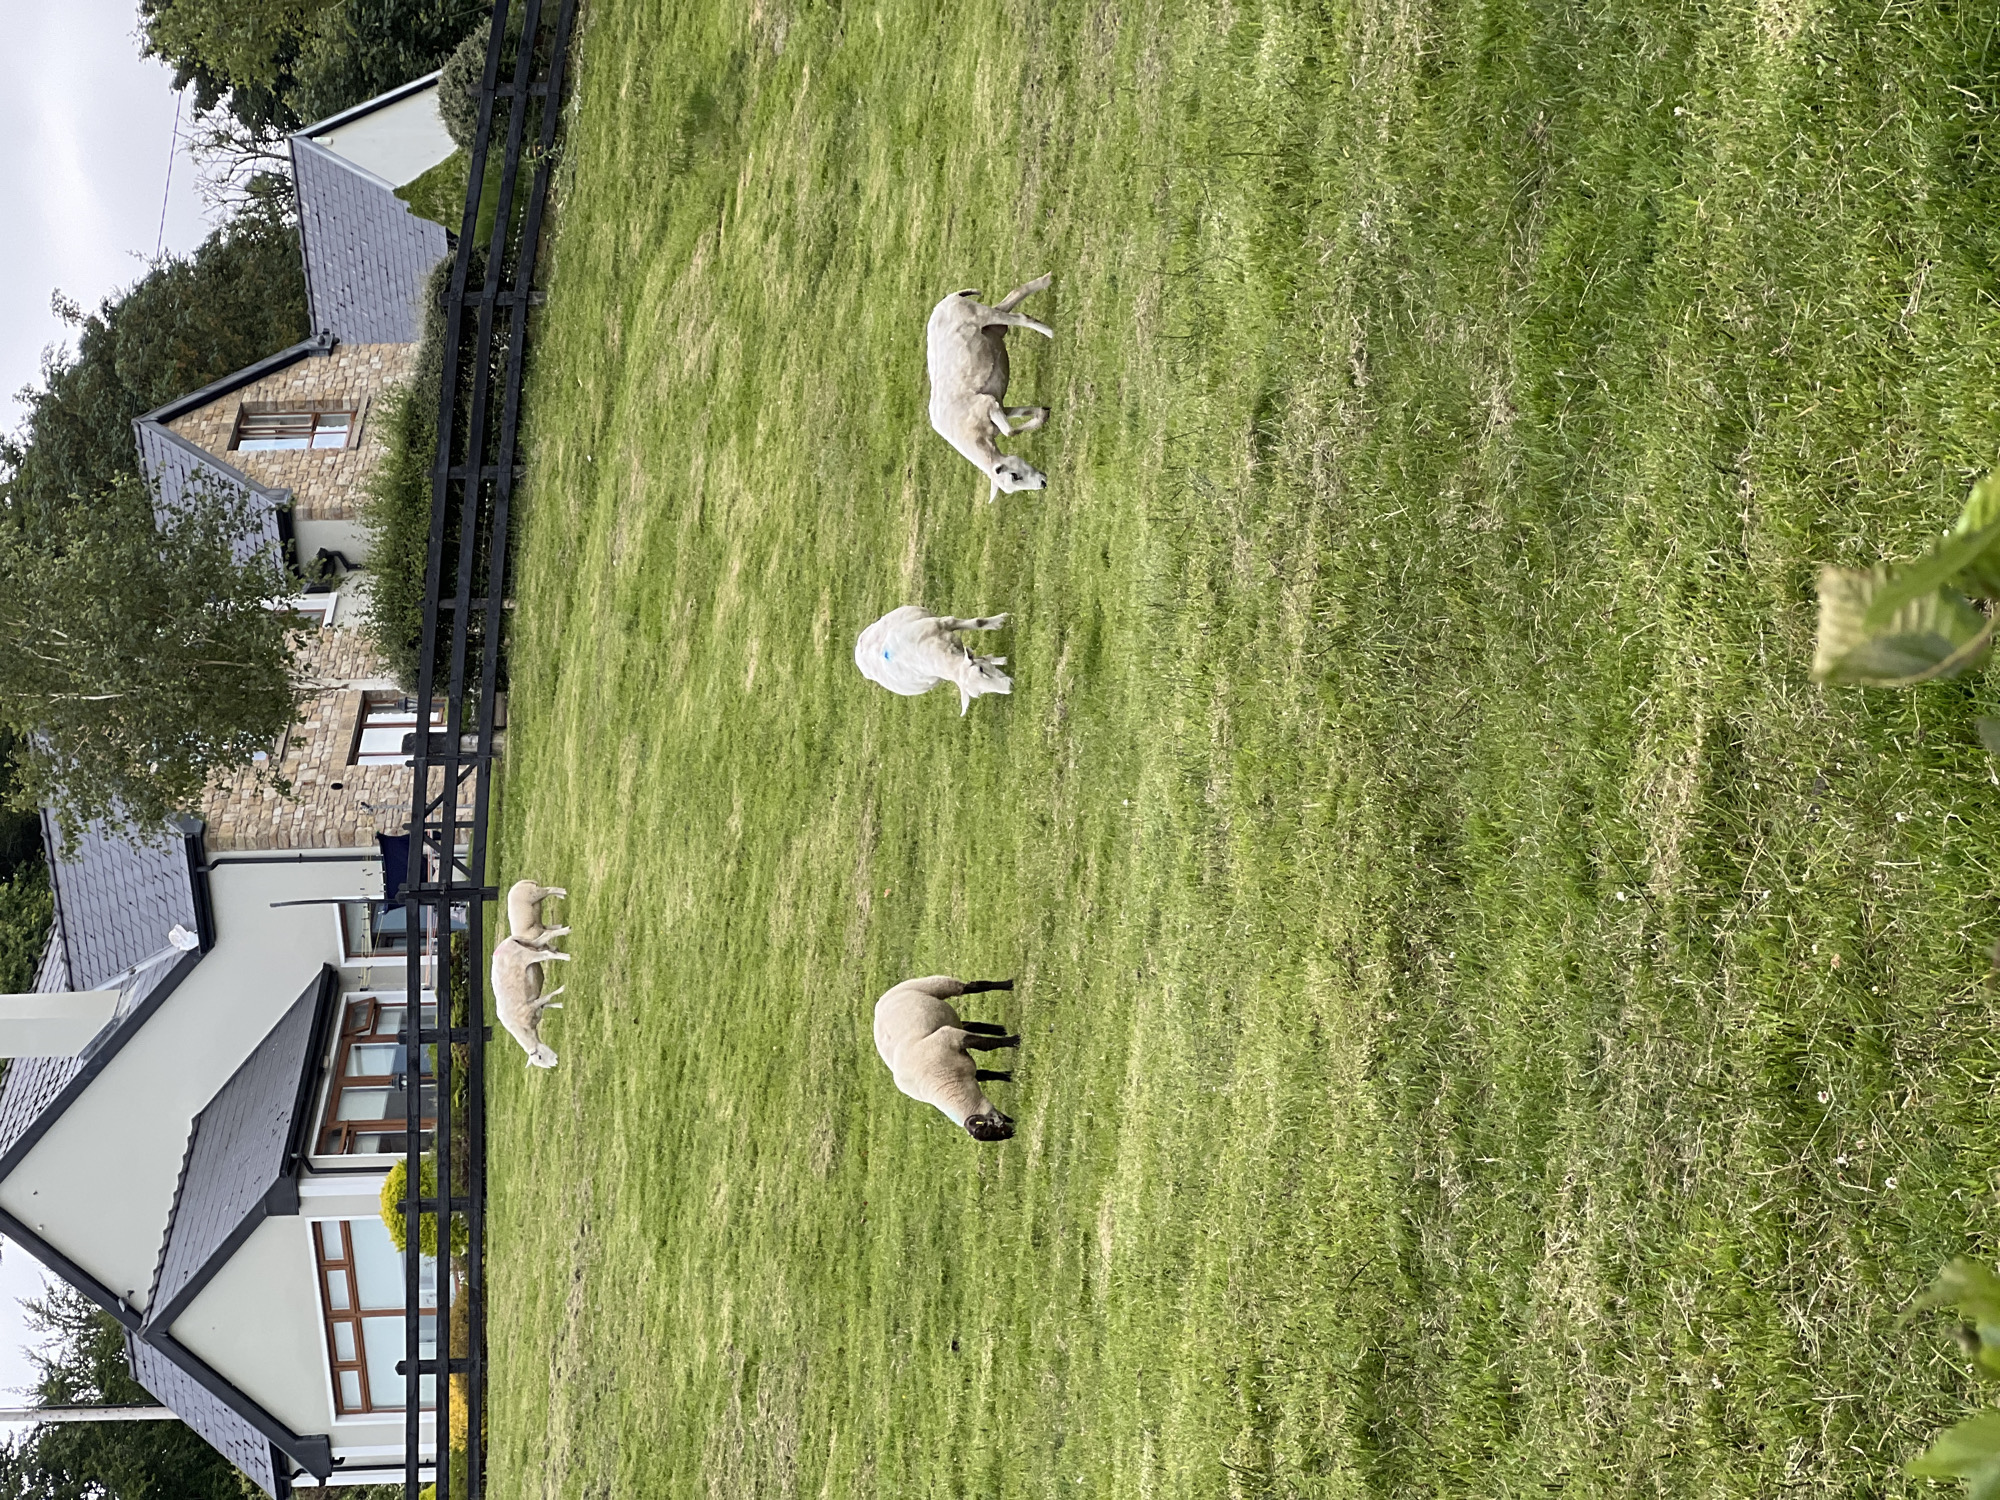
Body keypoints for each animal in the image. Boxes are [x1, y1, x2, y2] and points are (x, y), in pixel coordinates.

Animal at [491, 935, 572, 1069]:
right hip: (528, 944)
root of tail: (504, 943)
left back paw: (567, 957)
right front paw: (560, 1005)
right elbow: (546, 1003)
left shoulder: (530, 1006)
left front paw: (562, 989)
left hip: (526, 955)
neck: (525, 1029)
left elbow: (547, 998)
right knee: (542, 939)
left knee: (546, 954)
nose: (556, 1062)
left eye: (539, 1057)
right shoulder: (535, 1005)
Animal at [854, 607, 1012, 715]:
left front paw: (1000, 620)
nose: (1009, 687)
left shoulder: (944, 622)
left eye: (981, 669)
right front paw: (1000, 659)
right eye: (979, 694)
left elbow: (979, 623)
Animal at [873, 975, 1020, 1141]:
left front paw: (1015, 1041)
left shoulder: (952, 1037)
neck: (945, 1081)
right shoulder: (965, 1065)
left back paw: (1008, 985)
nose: (1012, 1133)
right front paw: (1009, 1076)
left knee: (974, 987)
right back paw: (1000, 1029)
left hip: (936, 984)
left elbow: (987, 1044)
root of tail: (880, 1001)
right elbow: (986, 1073)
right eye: (989, 1133)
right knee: (968, 1023)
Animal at [926, 273, 1054, 500]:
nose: (1043, 483)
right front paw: (1042, 415)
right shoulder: (997, 403)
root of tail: (947, 300)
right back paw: (1046, 281)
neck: (975, 438)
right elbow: (1017, 419)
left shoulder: (988, 405)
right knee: (1014, 297)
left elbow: (1010, 433)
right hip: (990, 326)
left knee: (1021, 317)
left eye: (1014, 475)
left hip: (980, 315)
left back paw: (1050, 332)